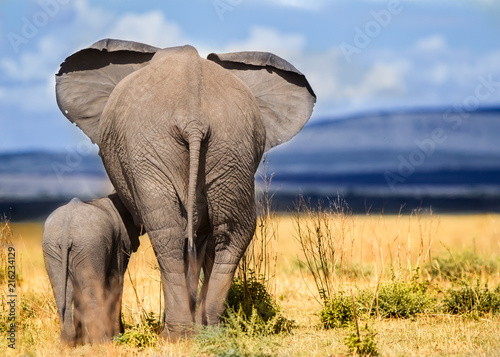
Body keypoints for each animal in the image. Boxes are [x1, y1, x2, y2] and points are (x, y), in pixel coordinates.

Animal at [42, 193, 141, 344]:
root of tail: (66, 232)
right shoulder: (119, 243)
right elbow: (115, 283)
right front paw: (118, 338)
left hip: (51, 247)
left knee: (61, 292)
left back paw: (68, 342)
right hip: (90, 246)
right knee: (91, 291)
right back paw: (101, 342)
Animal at [55, 39, 316, 340]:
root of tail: (194, 118)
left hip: (150, 149)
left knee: (167, 231)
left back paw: (175, 334)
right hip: (232, 146)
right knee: (232, 231)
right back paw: (210, 330)